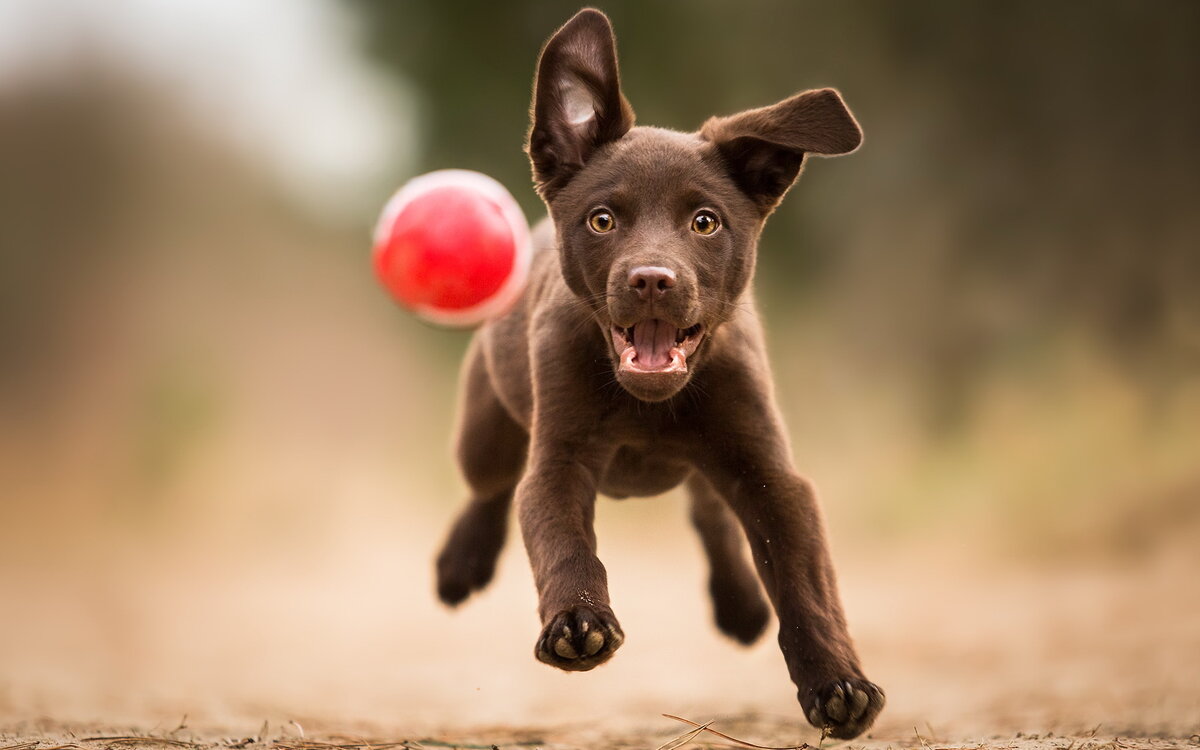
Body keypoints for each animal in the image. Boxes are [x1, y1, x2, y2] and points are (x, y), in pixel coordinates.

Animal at [432, 8, 883, 739]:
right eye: (602, 219)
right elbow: (560, 537)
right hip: (486, 421)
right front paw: (577, 622)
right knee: (491, 485)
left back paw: (739, 603)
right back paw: (461, 562)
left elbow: (804, 580)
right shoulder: (560, 457)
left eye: (705, 222)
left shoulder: (769, 471)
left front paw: (838, 683)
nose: (651, 280)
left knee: (711, 514)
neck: (646, 405)